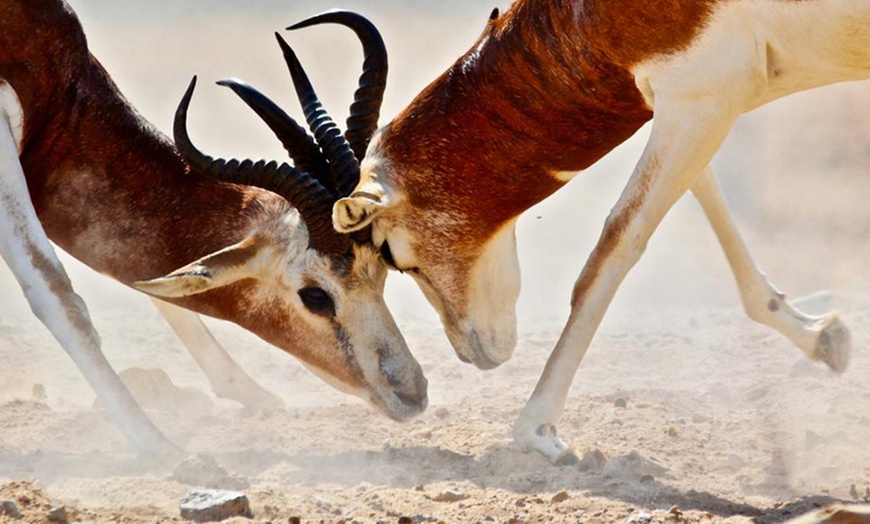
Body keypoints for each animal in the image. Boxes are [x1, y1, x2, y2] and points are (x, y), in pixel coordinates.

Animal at [0, 0, 428, 456]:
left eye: (382, 269)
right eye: (315, 296)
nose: (412, 393)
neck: (62, 104)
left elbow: (156, 285)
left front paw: (248, 391)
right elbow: (56, 291)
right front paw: (156, 444)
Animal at [334, 1, 870, 466]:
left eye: (391, 254)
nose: (472, 354)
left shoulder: (699, 97)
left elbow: (615, 242)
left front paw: (539, 432)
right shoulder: (690, 104)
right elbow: (705, 190)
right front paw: (823, 337)